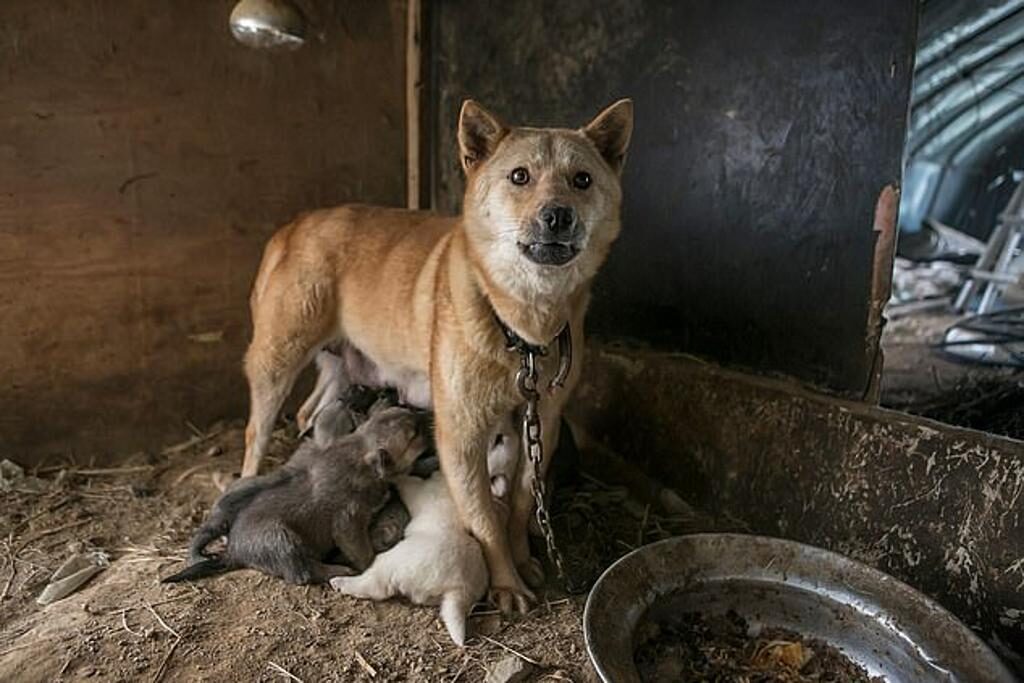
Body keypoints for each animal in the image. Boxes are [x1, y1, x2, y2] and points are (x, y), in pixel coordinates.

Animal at [161, 405, 425, 589]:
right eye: (413, 436)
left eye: (403, 411)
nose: (425, 413)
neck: (360, 453)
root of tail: (233, 552)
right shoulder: (348, 521)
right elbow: (361, 551)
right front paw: (366, 565)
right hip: (281, 540)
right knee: (302, 573)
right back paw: (337, 569)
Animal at [240, 97, 630, 614]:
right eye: (520, 176)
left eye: (582, 179)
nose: (558, 216)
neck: (519, 327)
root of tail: (296, 223)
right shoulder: (461, 433)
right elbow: (484, 520)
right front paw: (504, 583)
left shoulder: (540, 421)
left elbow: (521, 501)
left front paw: (523, 558)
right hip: (277, 359)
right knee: (256, 431)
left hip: (344, 368)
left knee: (308, 412)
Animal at [327, 471, 487, 647]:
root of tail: (459, 588)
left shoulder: (419, 490)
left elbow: (407, 482)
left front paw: (394, 478)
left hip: (390, 564)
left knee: (374, 587)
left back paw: (339, 582)